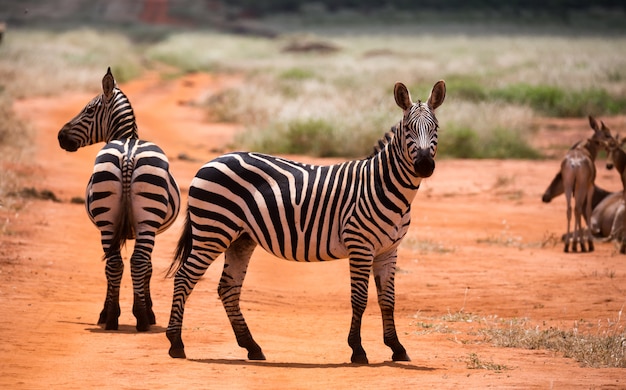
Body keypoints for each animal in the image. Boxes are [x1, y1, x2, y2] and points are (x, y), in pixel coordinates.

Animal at [56, 68, 180, 332]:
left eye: (88, 110)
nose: (60, 137)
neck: (127, 137)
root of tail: (128, 153)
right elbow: (145, 267)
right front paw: (146, 311)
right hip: (142, 221)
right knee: (134, 262)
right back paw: (137, 317)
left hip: (112, 222)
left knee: (117, 263)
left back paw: (116, 317)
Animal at [163, 80, 442, 364]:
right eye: (408, 129)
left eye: (436, 128)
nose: (424, 165)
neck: (381, 185)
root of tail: (210, 161)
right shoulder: (360, 245)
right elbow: (360, 299)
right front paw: (357, 350)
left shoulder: (389, 250)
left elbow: (388, 300)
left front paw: (397, 347)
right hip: (213, 230)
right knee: (184, 277)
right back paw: (176, 344)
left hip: (240, 238)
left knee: (228, 288)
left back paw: (252, 347)